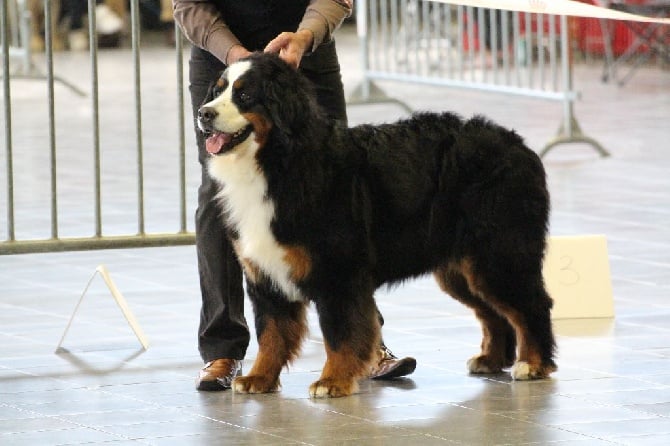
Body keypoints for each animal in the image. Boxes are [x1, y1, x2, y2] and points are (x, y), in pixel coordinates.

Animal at [197, 52, 560, 398]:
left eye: (245, 95)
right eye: (218, 90)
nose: (203, 113)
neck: (278, 163)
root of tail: (518, 144)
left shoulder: (338, 274)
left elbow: (340, 334)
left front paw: (333, 381)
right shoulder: (265, 272)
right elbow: (272, 333)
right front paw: (259, 378)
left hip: (498, 254)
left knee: (531, 305)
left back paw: (533, 364)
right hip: (461, 268)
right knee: (493, 313)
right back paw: (491, 359)